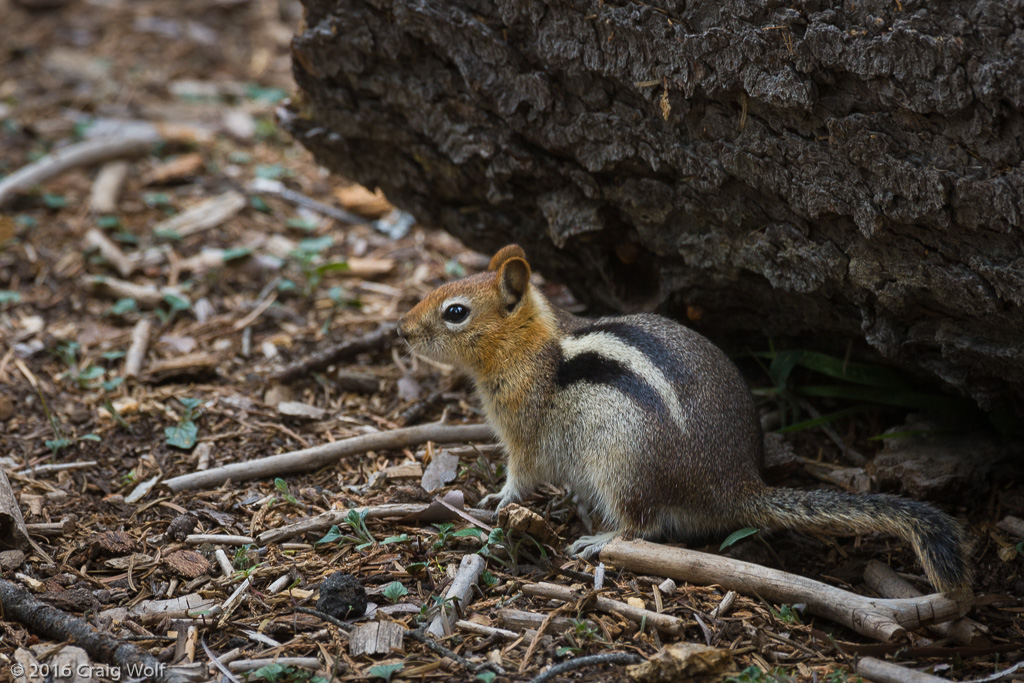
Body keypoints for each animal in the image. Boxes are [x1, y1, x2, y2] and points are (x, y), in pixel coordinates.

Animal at [395, 244, 970, 593]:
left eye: (455, 312)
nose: (401, 329)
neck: (529, 347)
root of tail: (735, 483)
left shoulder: (524, 431)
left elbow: (521, 475)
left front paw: (497, 499)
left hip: (622, 467)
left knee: (643, 526)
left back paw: (599, 539)